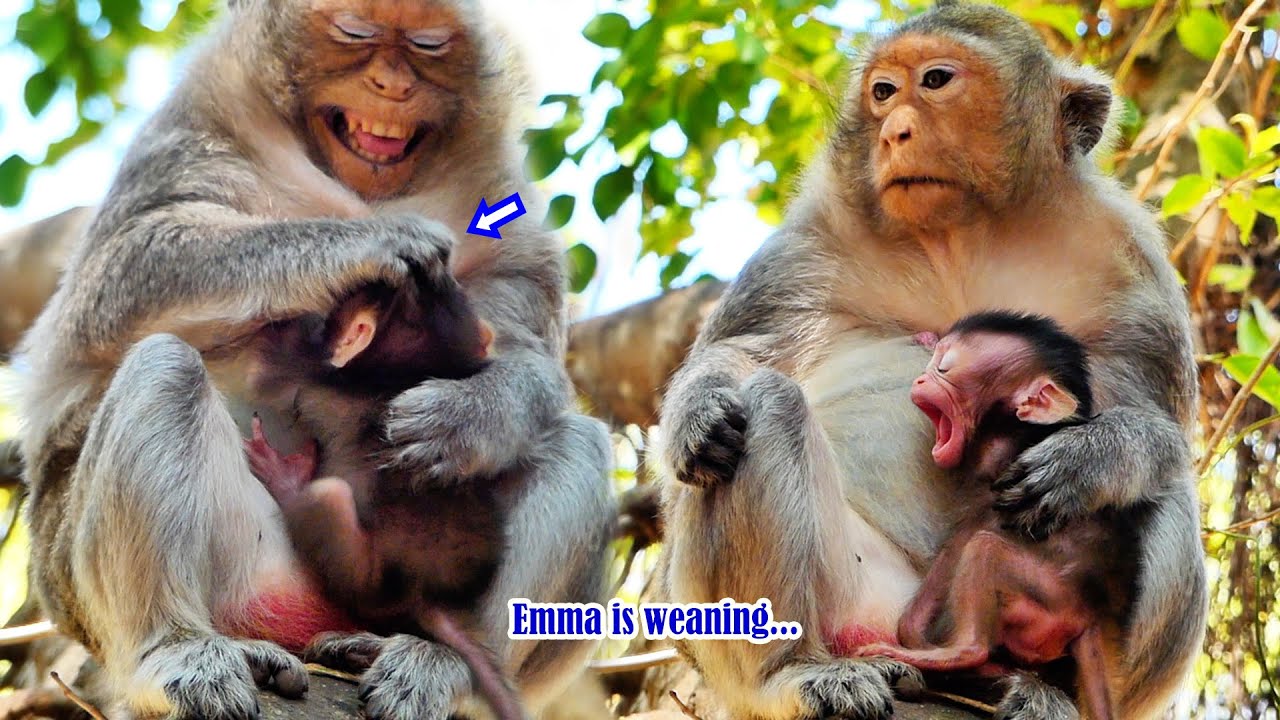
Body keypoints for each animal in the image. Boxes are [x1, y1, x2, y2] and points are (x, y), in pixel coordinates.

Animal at [16, 1, 615, 718]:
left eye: (429, 45)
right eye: (355, 32)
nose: (391, 83)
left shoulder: (512, 216)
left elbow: (527, 356)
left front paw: (467, 417)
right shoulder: (189, 133)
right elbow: (124, 270)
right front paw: (372, 240)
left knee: (574, 441)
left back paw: (448, 668)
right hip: (121, 585)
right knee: (165, 366)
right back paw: (180, 651)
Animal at [854, 311, 1133, 720]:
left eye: (944, 367)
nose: (920, 379)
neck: (1009, 432)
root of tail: (1087, 619)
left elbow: (974, 534)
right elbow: (956, 542)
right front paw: (913, 634)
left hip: (1048, 603)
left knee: (986, 550)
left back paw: (965, 655)